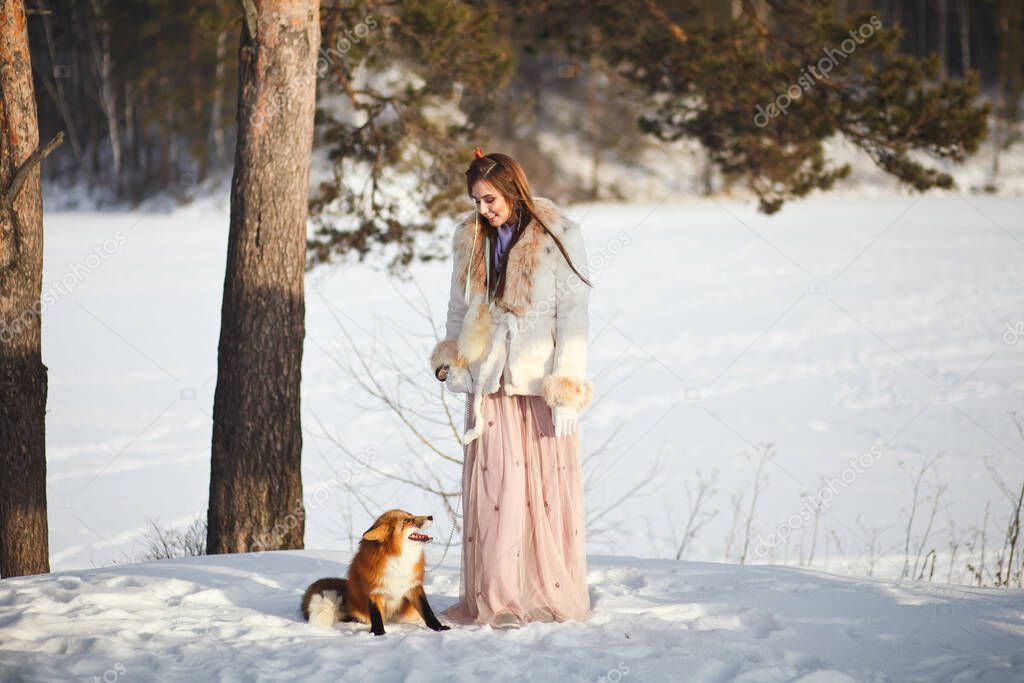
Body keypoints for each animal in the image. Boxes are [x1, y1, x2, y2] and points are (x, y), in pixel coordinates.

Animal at [299, 507, 452, 634]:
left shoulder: (413, 586)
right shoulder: (374, 590)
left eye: (411, 515)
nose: (431, 516)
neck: (398, 560)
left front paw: (439, 628)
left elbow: (428, 612)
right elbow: (377, 617)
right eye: (408, 520)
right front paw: (379, 634)